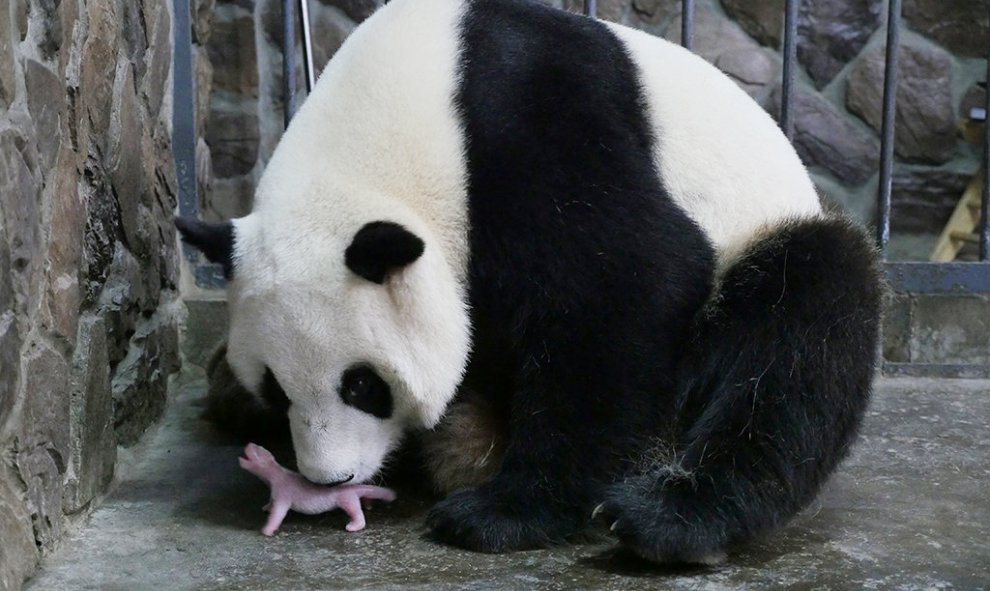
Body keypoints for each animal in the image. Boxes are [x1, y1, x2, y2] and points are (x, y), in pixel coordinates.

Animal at [176, 0, 884, 564]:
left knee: (805, 326)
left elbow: (630, 281)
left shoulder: (529, 122)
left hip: (761, 246)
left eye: (363, 385)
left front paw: (503, 514)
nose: (330, 479)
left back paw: (671, 519)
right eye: (277, 388)